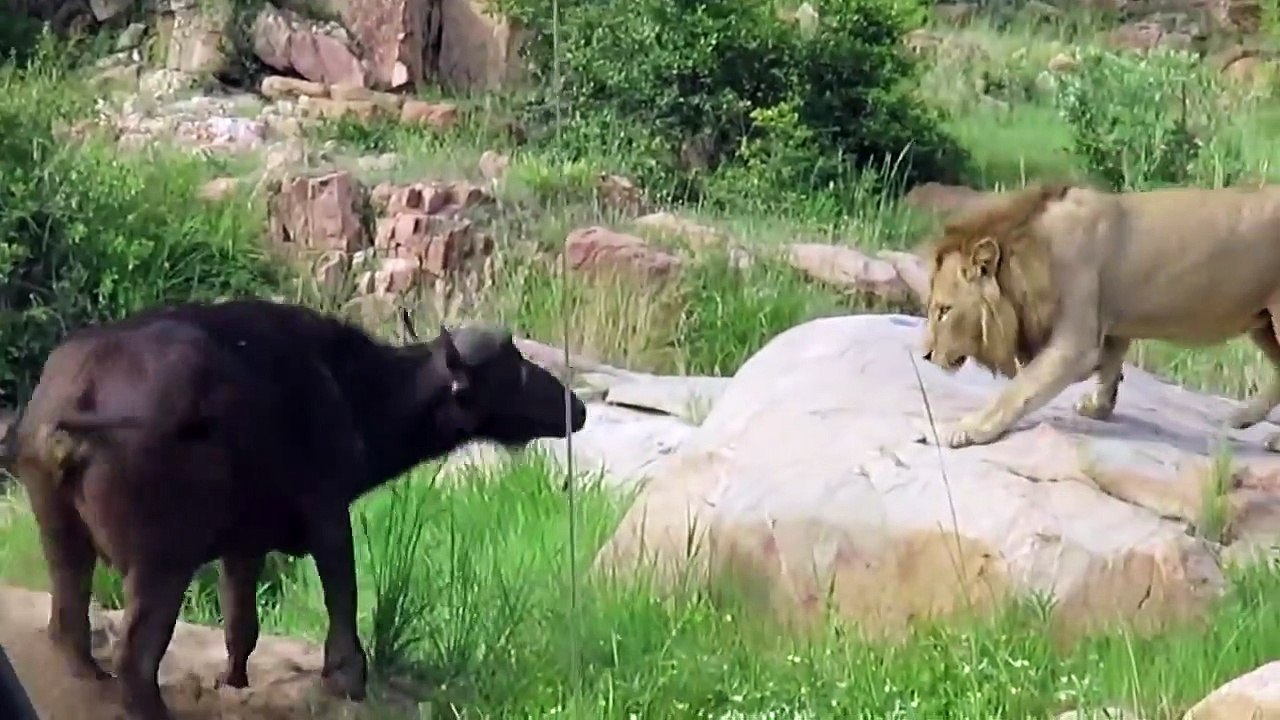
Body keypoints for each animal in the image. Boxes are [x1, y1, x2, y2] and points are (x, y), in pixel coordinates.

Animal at [3, 298, 587, 720]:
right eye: (514, 369)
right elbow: (343, 595)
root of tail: (79, 392)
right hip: (161, 563)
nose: (575, 407)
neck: (347, 388)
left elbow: (241, 623)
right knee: (136, 658)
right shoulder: (328, 514)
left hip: (60, 536)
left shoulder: (244, 545)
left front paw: (234, 682)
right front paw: (348, 676)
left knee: (70, 627)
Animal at [920, 180, 1280, 451]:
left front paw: (961, 428)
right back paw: (1244, 419)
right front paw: (1098, 406)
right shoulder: (1111, 318)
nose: (924, 355)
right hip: (1263, 324)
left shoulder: (1074, 344)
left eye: (944, 310)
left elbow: (1018, 390)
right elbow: (1110, 365)